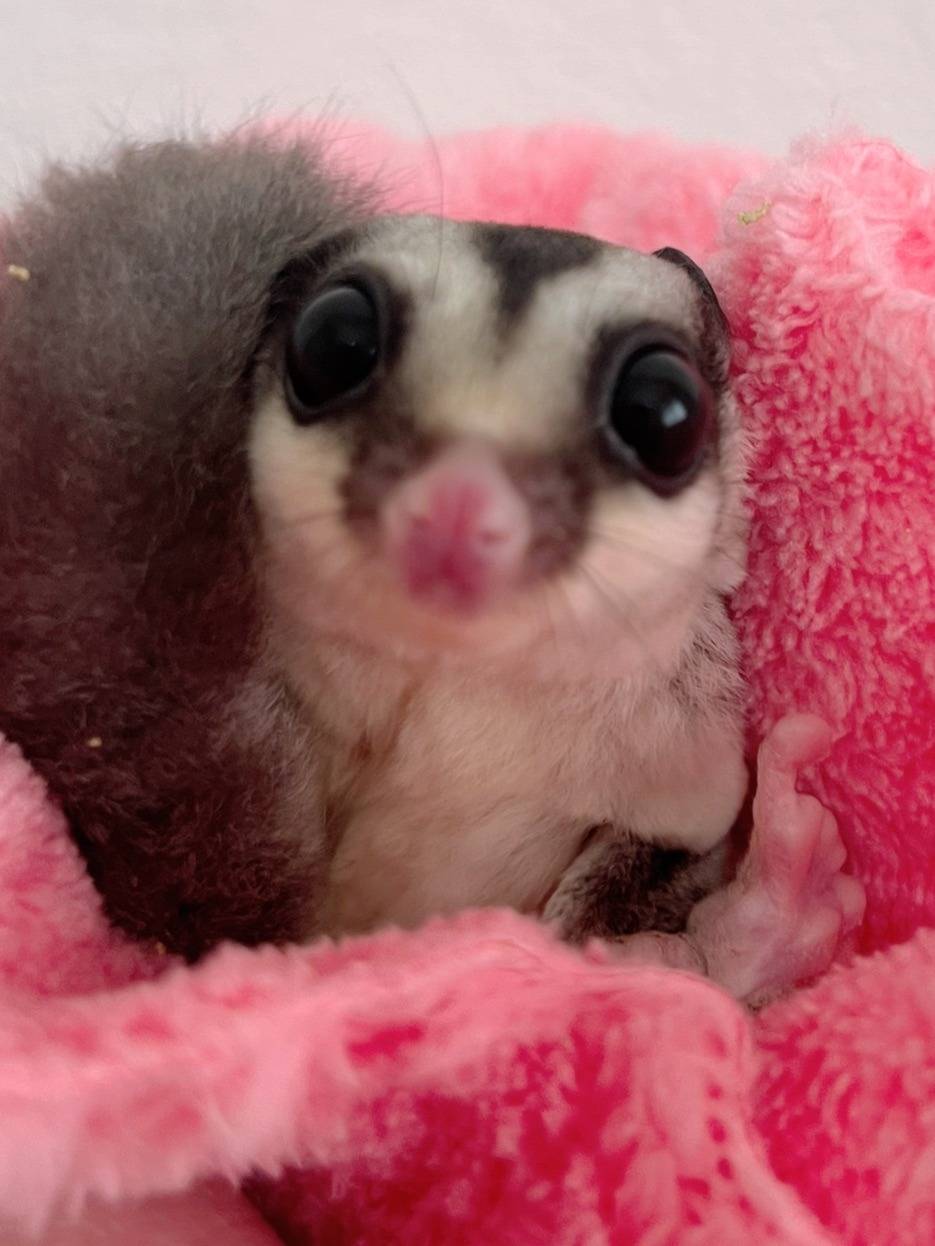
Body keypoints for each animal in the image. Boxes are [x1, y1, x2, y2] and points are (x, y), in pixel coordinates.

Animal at [0, 135, 747, 962]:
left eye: (662, 413)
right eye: (335, 346)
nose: (458, 505)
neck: (454, 673)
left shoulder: (683, 747)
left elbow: (665, 856)